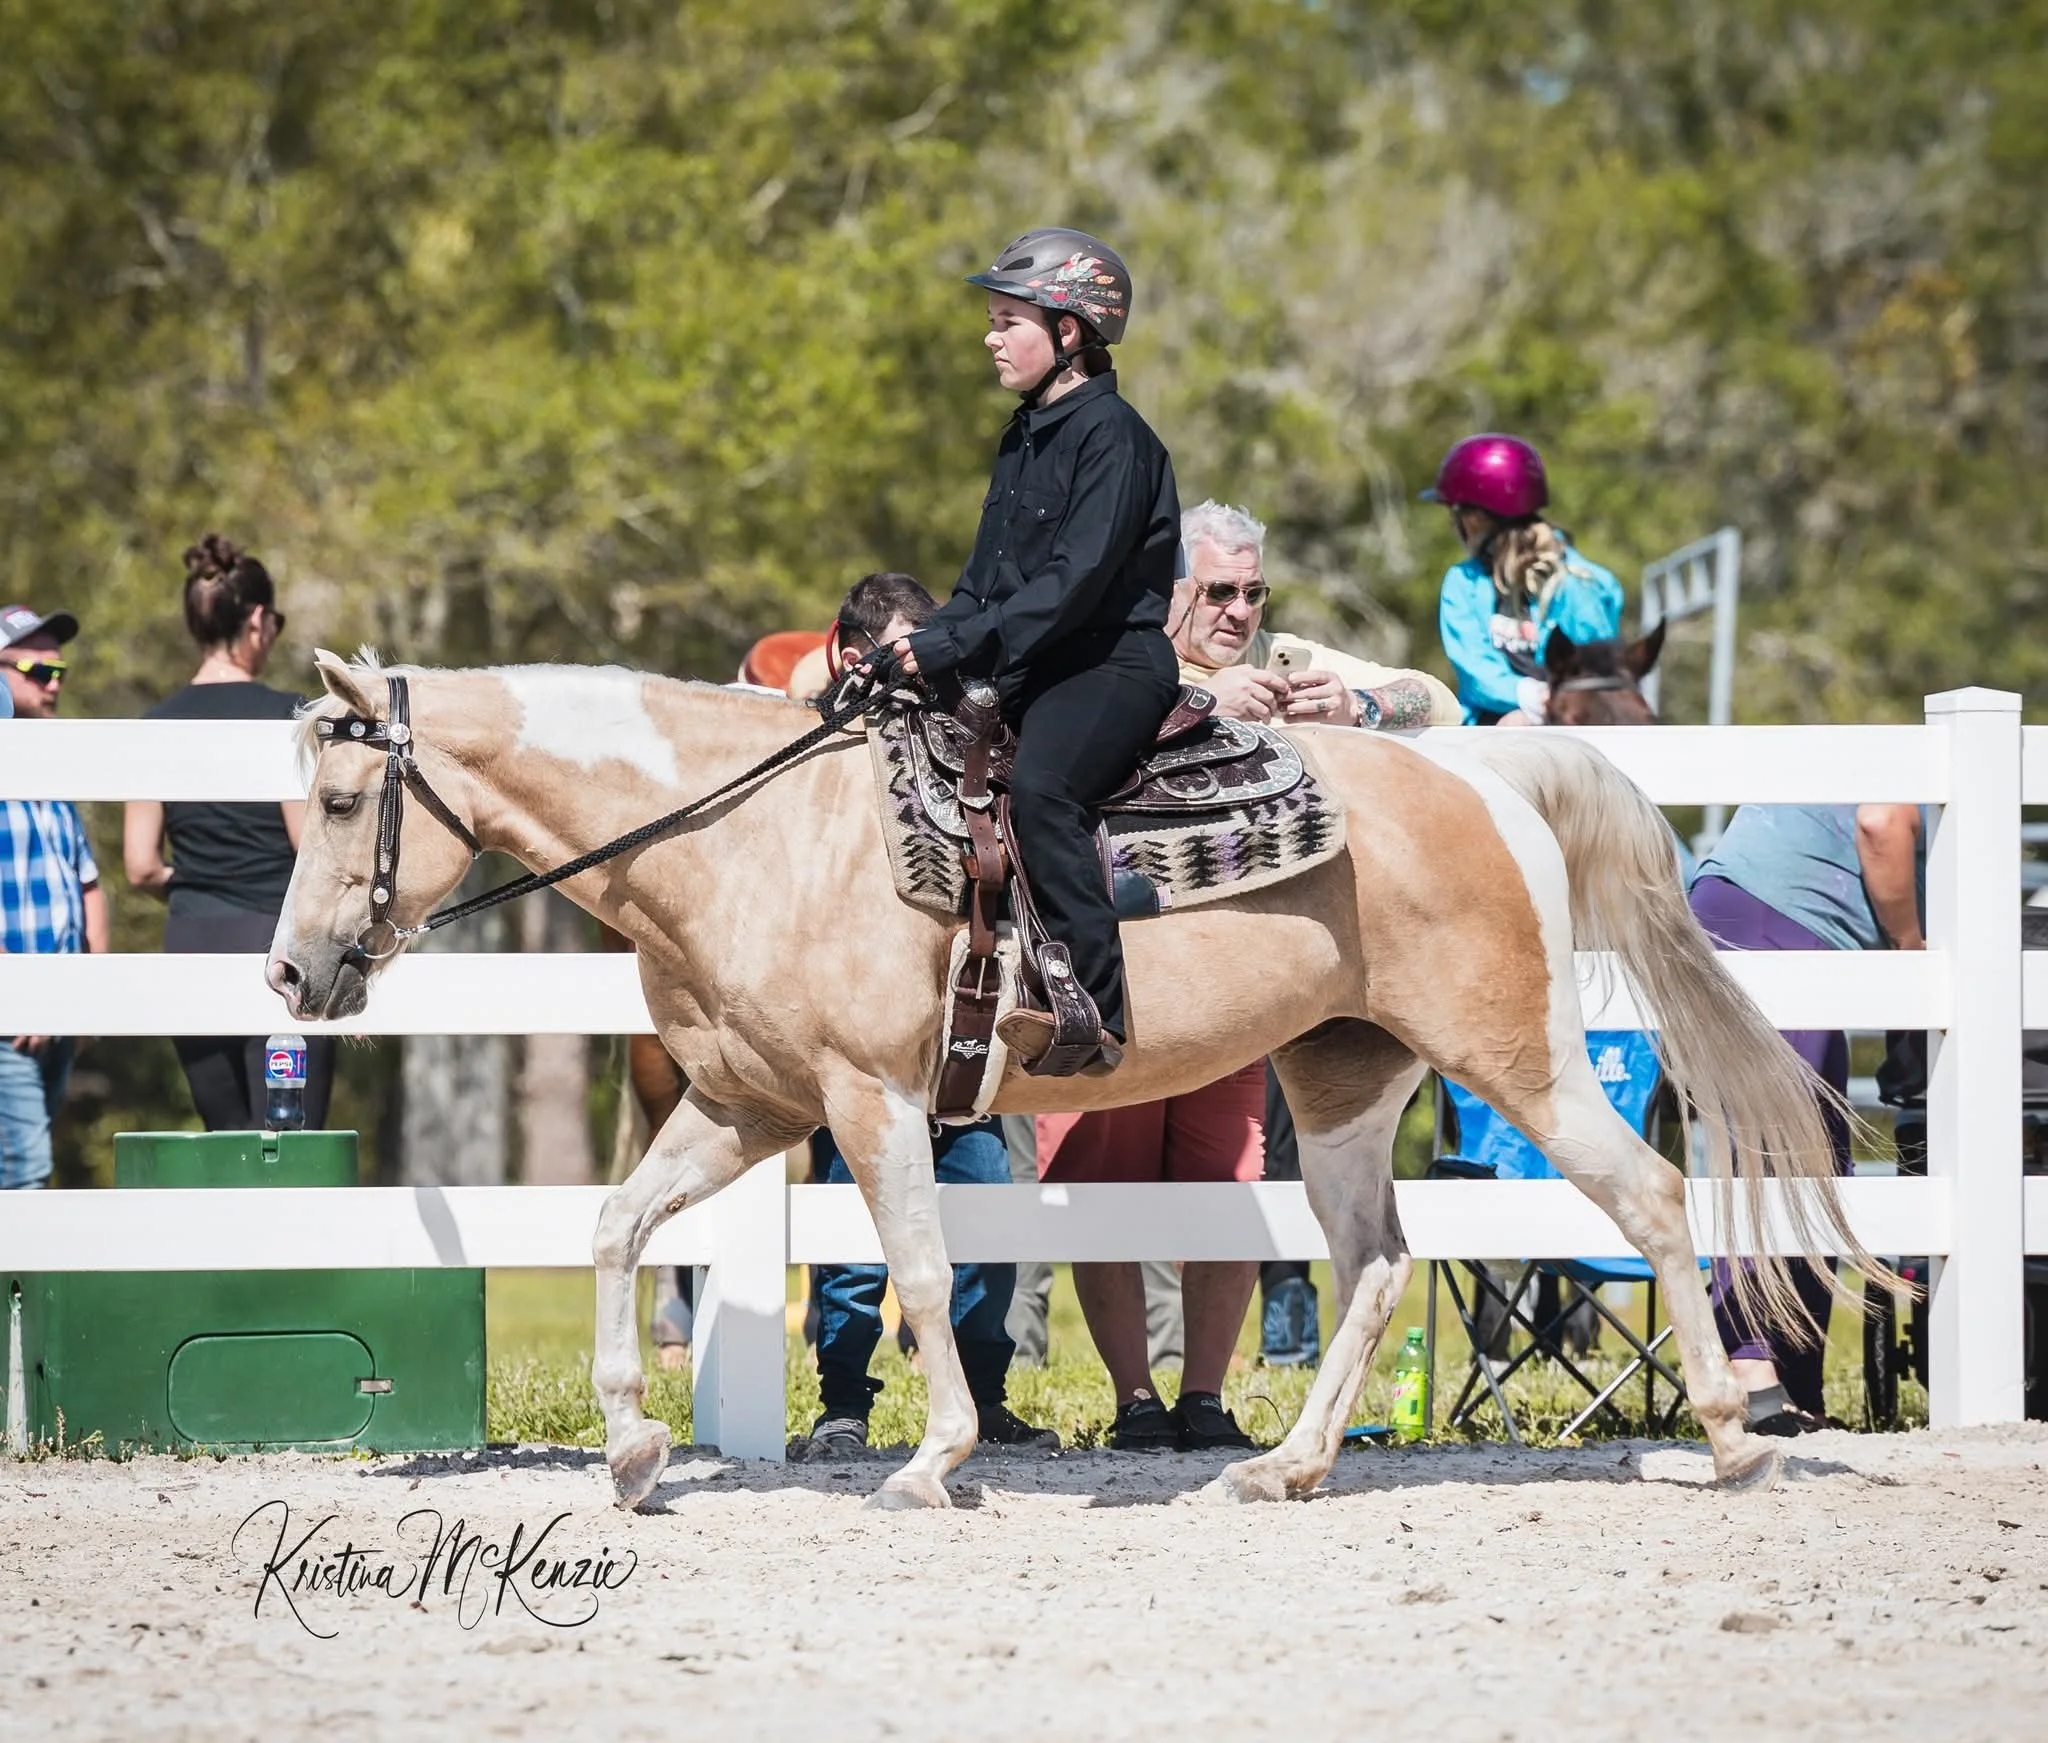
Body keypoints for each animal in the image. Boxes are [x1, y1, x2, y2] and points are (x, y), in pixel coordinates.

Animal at [267, 649, 1877, 1512]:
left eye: (345, 799)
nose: (291, 976)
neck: (755, 835)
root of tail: (1485, 775)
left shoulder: (868, 1102)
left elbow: (923, 1277)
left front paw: (936, 1458)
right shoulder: (745, 1107)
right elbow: (613, 1227)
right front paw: (632, 1447)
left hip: (1520, 1058)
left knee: (1652, 1193)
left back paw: (1729, 1439)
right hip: (1341, 1086)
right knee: (1372, 1263)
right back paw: (1283, 1468)